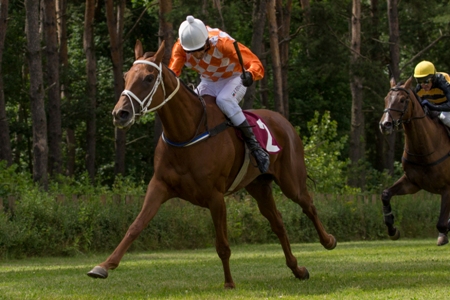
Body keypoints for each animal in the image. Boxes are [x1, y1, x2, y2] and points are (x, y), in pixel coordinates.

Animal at [86, 40, 336, 288]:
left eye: (148, 78)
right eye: (126, 75)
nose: (120, 114)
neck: (186, 133)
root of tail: (283, 121)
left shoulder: (215, 196)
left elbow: (222, 245)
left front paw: (229, 283)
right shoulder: (159, 186)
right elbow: (135, 226)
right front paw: (103, 266)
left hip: (291, 181)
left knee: (308, 205)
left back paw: (329, 241)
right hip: (258, 185)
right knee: (278, 223)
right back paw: (298, 269)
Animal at [380, 77, 450, 246]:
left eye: (402, 100)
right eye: (386, 99)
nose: (385, 125)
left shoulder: (447, 187)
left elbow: (441, 222)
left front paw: (443, 235)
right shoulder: (413, 183)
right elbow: (385, 194)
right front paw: (392, 229)